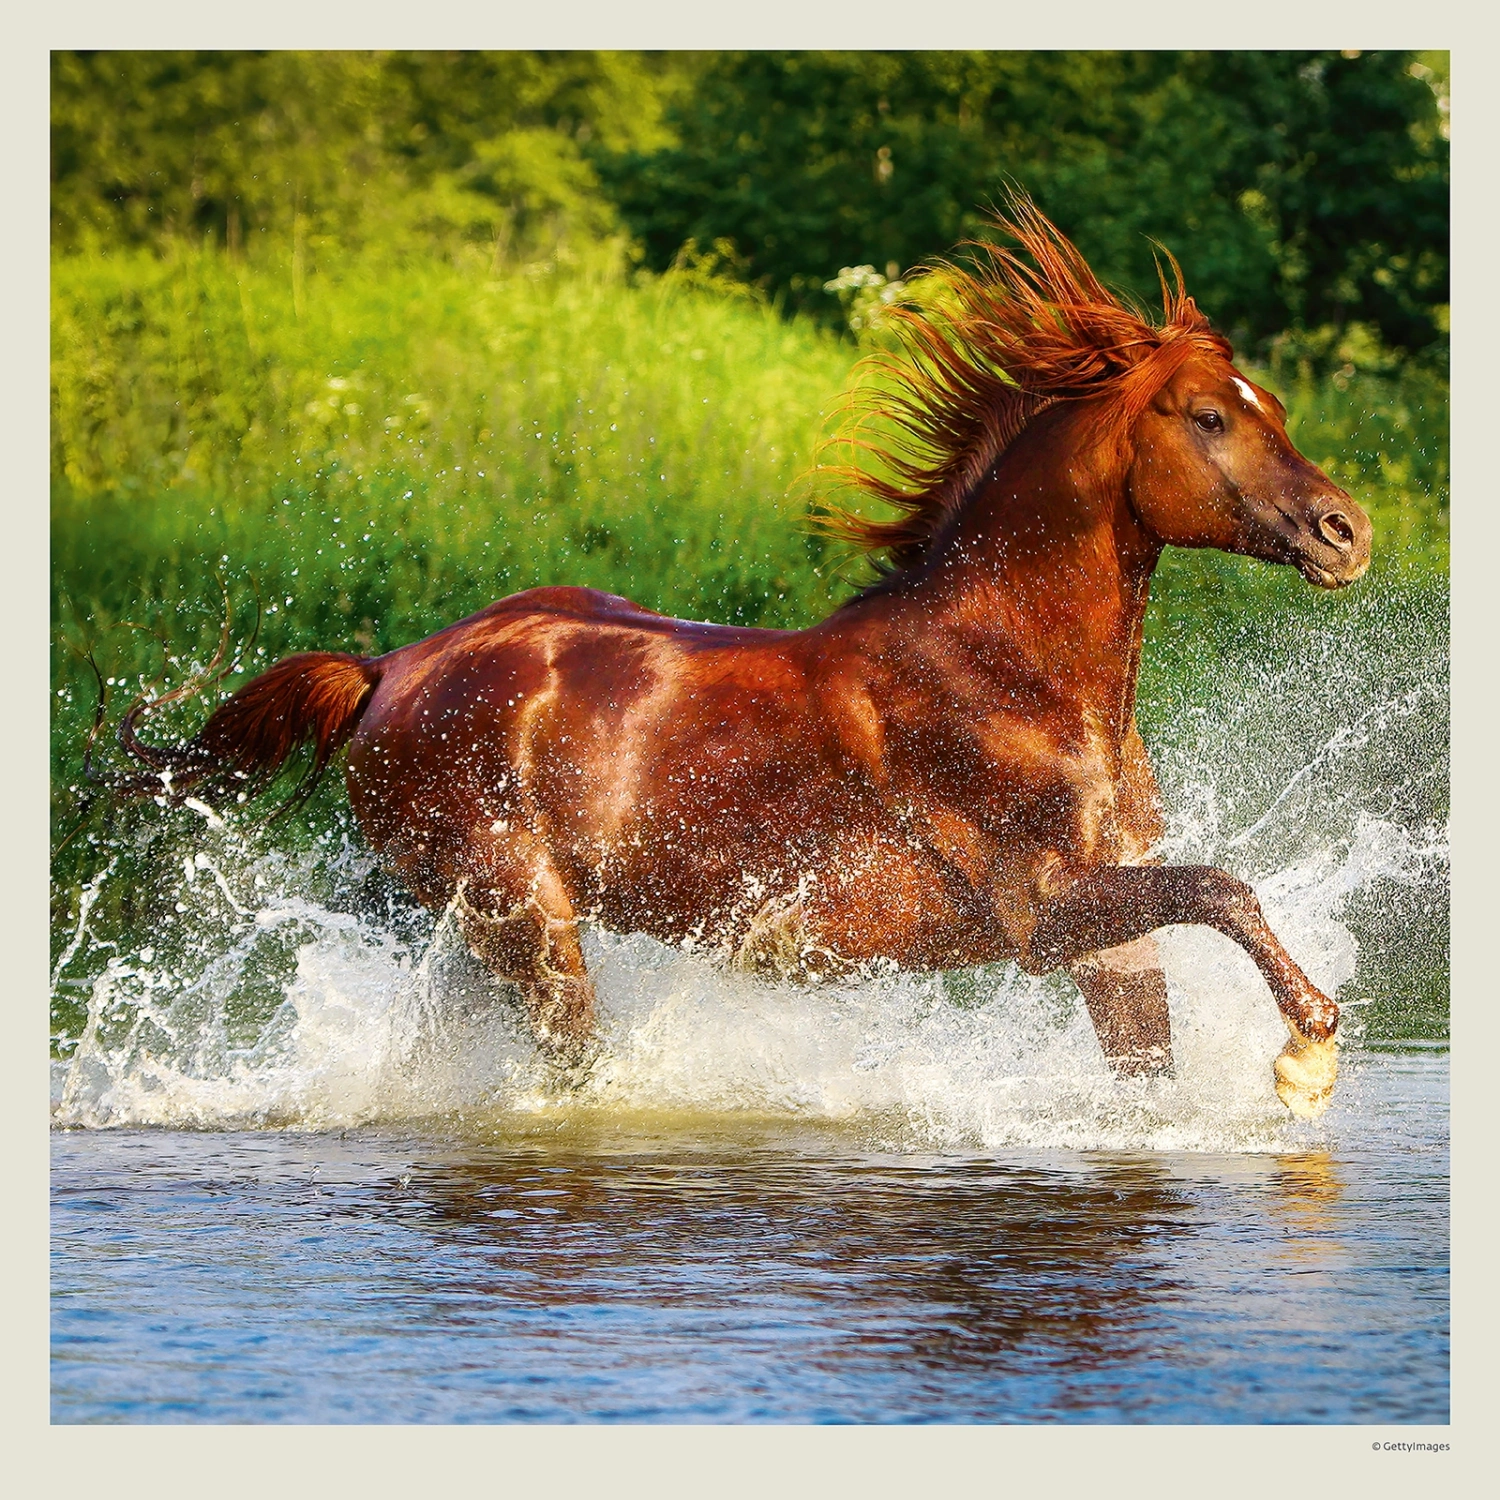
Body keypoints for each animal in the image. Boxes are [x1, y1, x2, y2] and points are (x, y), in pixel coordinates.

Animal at [113, 198, 1371, 1118]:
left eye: (1269, 400)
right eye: (1208, 415)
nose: (1345, 532)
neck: (1009, 675)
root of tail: (388, 669)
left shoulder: (1105, 932)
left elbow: (1152, 1052)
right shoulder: (1038, 911)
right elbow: (1223, 886)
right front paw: (1309, 1051)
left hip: (471, 937)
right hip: (526, 923)